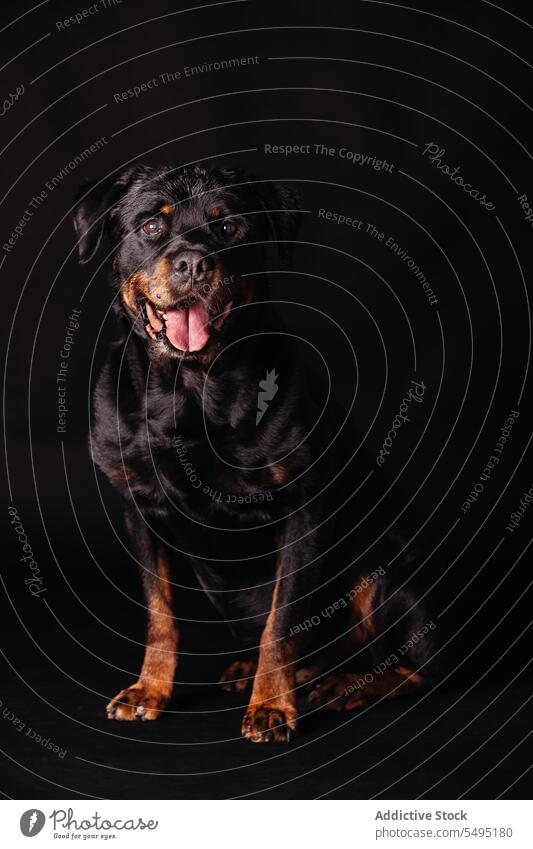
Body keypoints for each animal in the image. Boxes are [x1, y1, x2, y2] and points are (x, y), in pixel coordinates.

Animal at [75, 164, 438, 744]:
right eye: (152, 226)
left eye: (229, 228)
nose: (193, 262)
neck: (191, 392)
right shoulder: (139, 509)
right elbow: (160, 615)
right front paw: (150, 690)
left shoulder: (303, 511)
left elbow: (282, 623)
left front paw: (270, 706)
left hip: (385, 564)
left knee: (414, 665)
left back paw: (349, 686)